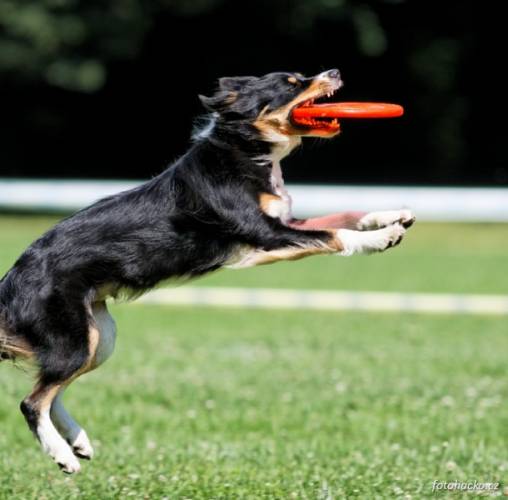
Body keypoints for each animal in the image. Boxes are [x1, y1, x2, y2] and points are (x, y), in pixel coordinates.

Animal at [0, 70, 412, 472]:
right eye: (291, 82)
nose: (335, 71)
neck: (245, 152)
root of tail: (11, 279)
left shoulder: (283, 225)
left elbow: (344, 215)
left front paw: (392, 215)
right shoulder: (265, 236)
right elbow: (335, 234)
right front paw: (383, 237)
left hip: (98, 338)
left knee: (51, 388)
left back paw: (78, 441)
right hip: (73, 337)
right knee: (32, 400)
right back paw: (63, 454)